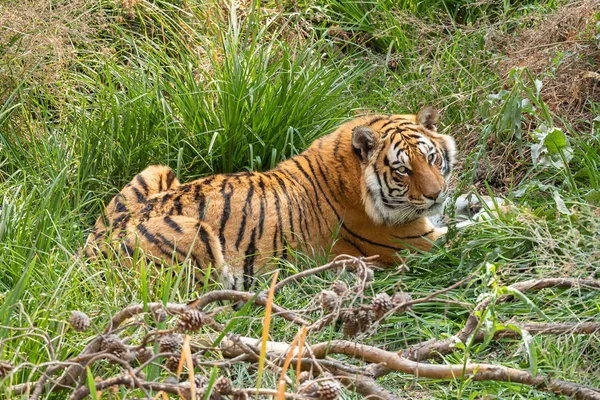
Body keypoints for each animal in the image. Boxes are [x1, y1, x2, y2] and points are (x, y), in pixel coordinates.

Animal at [84, 104, 458, 290]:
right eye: (402, 170)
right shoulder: (418, 242)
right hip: (193, 233)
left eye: (431, 158)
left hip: (155, 171)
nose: (435, 193)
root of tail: (87, 256)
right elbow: (465, 233)